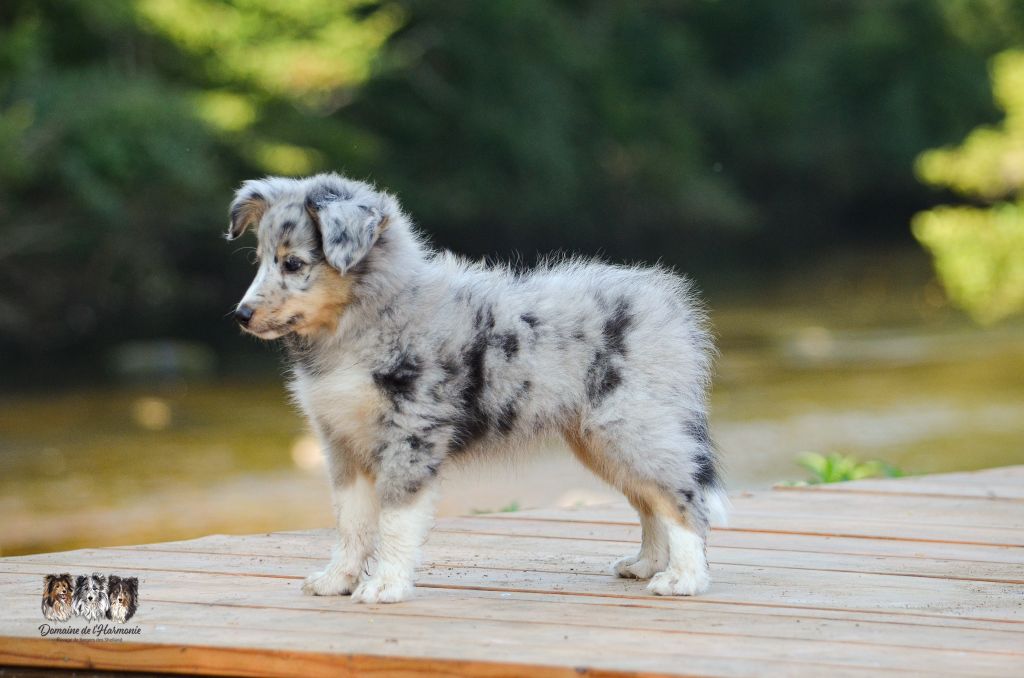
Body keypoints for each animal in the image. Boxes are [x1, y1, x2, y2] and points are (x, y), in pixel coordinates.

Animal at [226, 172, 726, 603]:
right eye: (258, 260)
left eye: (294, 264)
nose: (241, 315)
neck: (365, 320)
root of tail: (670, 306)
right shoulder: (342, 442)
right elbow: (351, 522)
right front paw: (338, 580)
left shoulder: (410, 435)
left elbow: (394, 521)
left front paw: (385, 585)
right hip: (602, 439)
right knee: (650, 499)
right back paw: (647, 565)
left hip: (629, 425)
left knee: (682, 498)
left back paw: (684, 578)